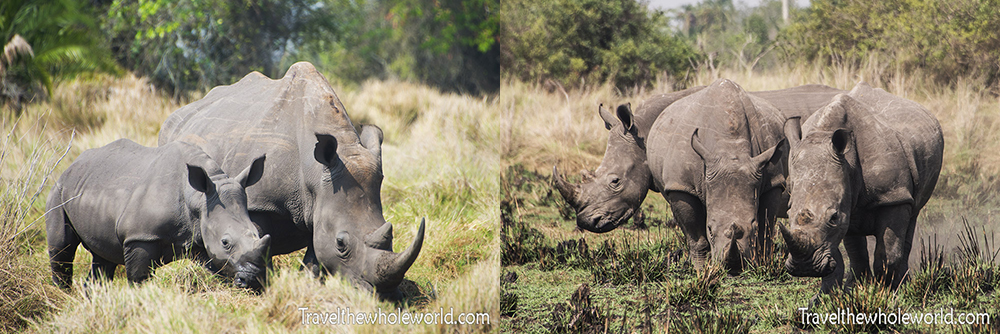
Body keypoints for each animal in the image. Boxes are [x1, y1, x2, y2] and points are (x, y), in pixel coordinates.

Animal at [47, 138, 270, 290]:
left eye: (258, 233)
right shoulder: (140, 237)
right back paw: (62, 296)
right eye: (225, 242)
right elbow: (139, 279)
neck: (198, 198)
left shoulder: (201, 238)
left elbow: (218, 269)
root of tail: (71, 166)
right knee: (62, 249)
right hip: (58, 191)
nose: (253, 280)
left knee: (102, 258)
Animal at [158, 61, 424, 296]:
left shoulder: (321, 202)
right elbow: (256, 242)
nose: (386, 296)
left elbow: (315, 253)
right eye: (341, 243)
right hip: (171, 137)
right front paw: (257, 286)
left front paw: (308, 283)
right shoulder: (258, 202)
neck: (315, 172)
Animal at [556, 79, 844, 274]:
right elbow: (698, 234)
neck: (644, 129)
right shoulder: (680, 185)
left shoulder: (773, 181)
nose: (587, 221)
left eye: (615, 181)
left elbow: (763, 227)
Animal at [776, 82, 940, 294]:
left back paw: (902, 284)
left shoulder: (893, 195)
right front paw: (845, 292)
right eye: (788, 213)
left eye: (833, 217)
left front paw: (886, 293)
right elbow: (848, 250)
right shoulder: (845, 200)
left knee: (912, 216)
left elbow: (887, 252)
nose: (805, 268)